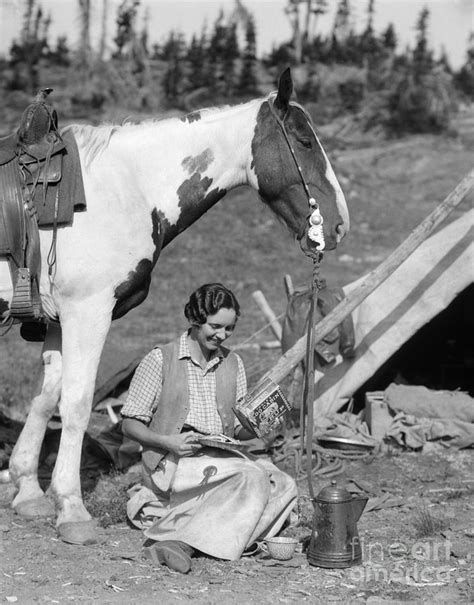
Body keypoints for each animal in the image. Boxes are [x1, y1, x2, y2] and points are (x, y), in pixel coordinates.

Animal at [0, 68, 348, 544]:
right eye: (305, 141)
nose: (339, 224)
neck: (124, 188)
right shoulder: (87, 313)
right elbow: (76, 404)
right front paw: (71, 508)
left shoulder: (57, 319)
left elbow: (45, 396)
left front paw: (28, 491)